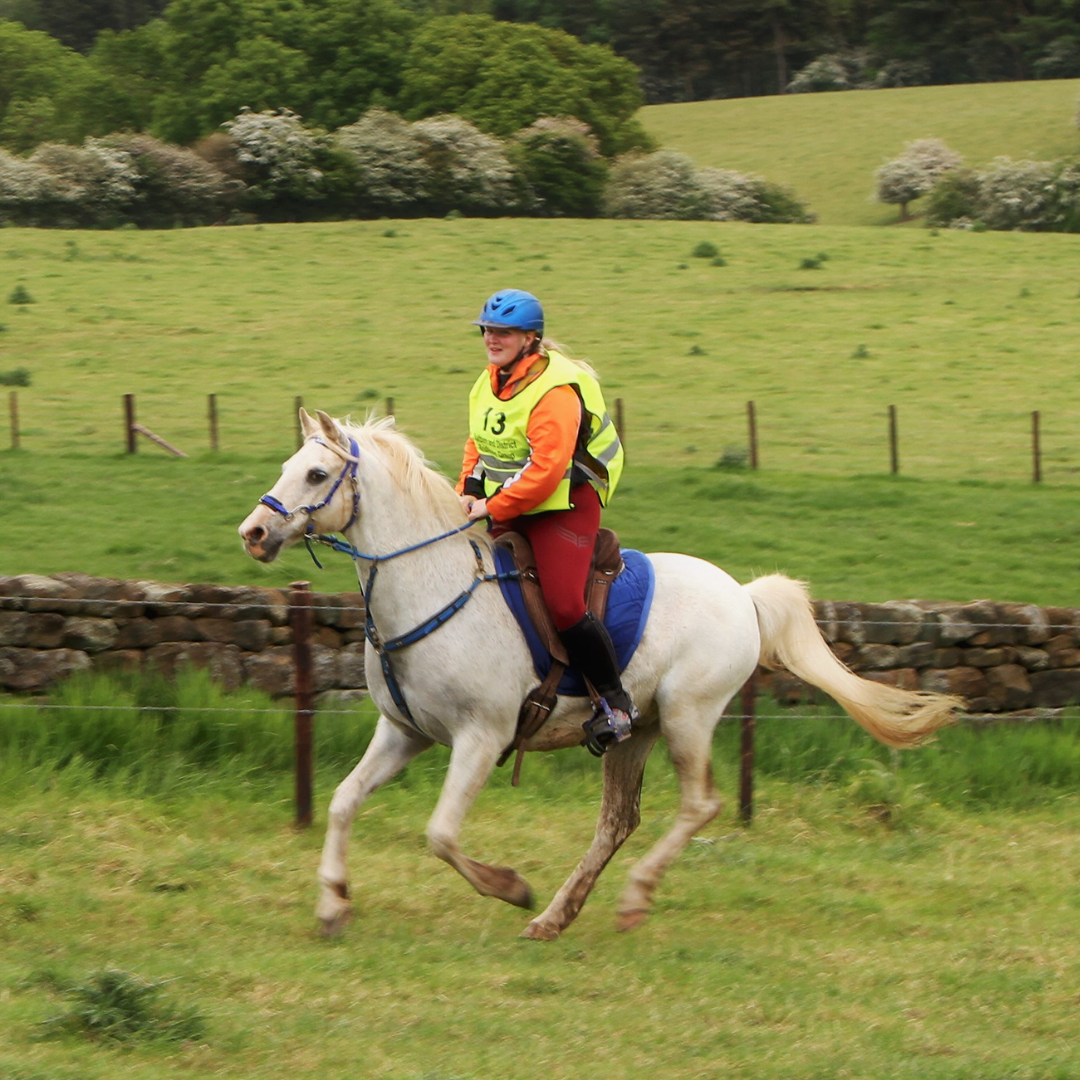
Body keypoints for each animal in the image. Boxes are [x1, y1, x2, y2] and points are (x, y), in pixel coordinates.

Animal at [238, 409, 959, 940]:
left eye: (316, 473)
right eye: (286, 467)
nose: (253, 532)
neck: (434, 585)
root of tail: (744, 594)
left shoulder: (481, 738)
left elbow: (440, 834)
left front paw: (510, 886)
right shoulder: (403, 732)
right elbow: (341, 802)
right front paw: (333, 905)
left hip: (689, 716)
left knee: (698, 805)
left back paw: (627, 898)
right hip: (634, 730)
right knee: (618, 821)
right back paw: (557, 917)